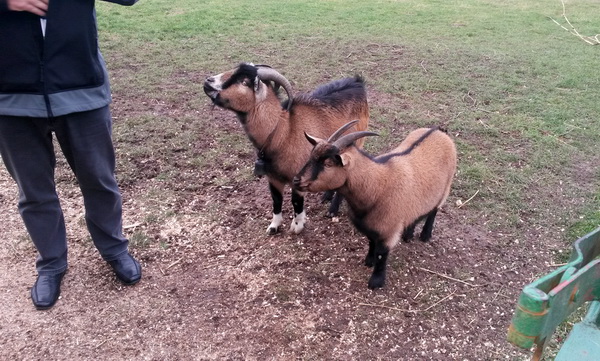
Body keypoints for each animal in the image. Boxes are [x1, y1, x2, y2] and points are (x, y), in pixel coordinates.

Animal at [204, 63, 368, 233]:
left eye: (244, 81)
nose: (208, 81)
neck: (284, 131)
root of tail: (357, 82)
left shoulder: (298, 176)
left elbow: (296, 201)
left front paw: (297, 226)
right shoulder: (273, 177)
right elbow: (276, 200)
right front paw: (274, 226)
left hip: (355, 143)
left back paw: (332, 210)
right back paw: (326, 196)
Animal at [292, 120, 458, 286]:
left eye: (327, 164)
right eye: (311, 156)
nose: (296, 180)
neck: (377, 186)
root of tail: (439, 131)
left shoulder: (389, 231)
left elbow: (381, 253)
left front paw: (376, 281)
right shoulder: (371, 226)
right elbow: (371, 242)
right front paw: (369, 261)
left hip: (445, 188)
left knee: (434, 210)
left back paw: (425, 235)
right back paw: (408, 234)